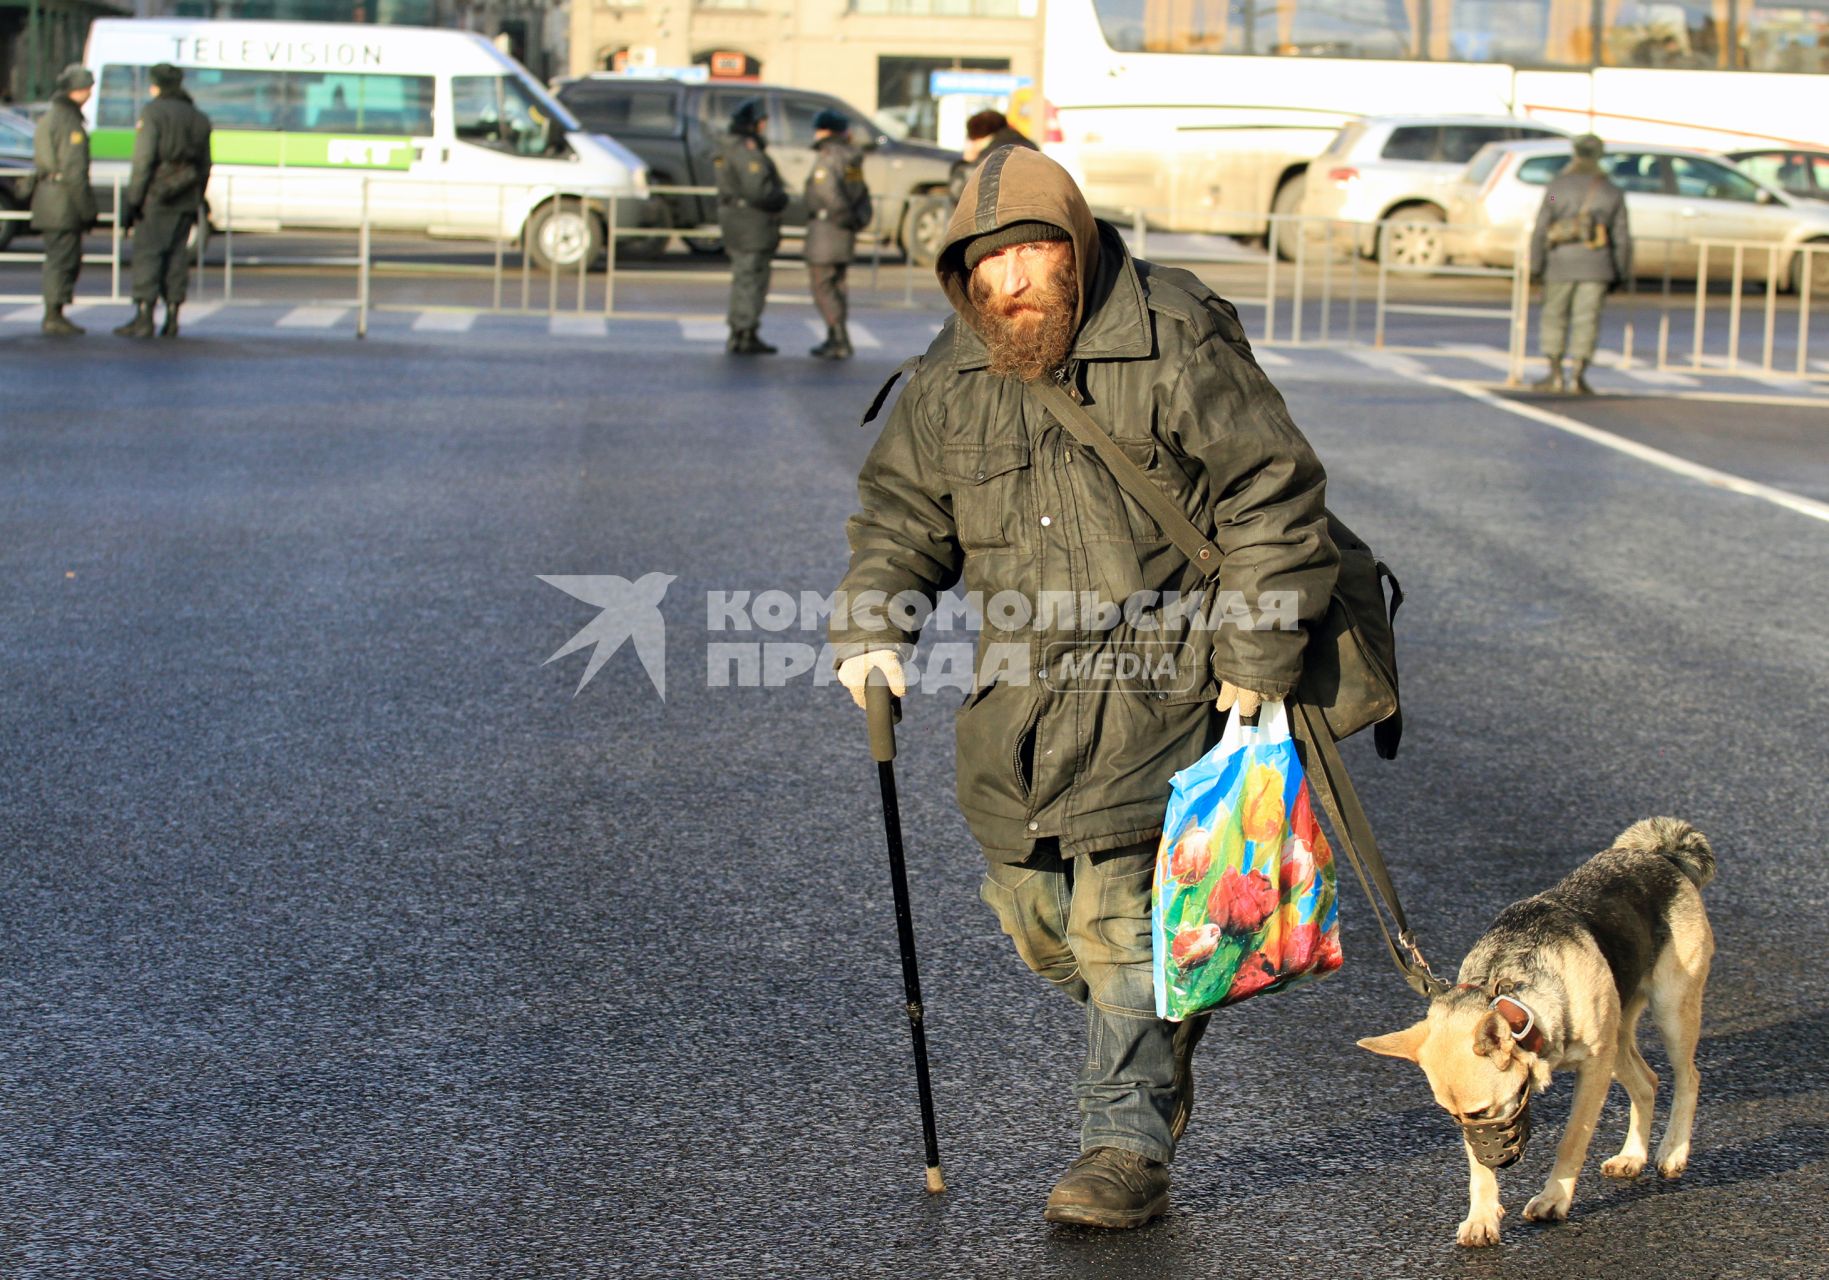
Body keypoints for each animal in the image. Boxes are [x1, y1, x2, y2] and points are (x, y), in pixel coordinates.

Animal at [1360, 815, 1711, 1243]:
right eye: (1452, 1116)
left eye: (1481, 1111)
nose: (1496, 1158)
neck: (1516, 998)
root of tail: (1660, 857)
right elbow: (1477, 1171)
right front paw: (1482, 1217)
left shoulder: (1592, 1071)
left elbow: (1572, 1139)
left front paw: (1553, 1199)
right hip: (1618, 1040)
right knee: (1647, 1083)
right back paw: (1632, 1157)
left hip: (1671, 1013)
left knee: (1688, 1078)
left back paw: (1673, 1152)